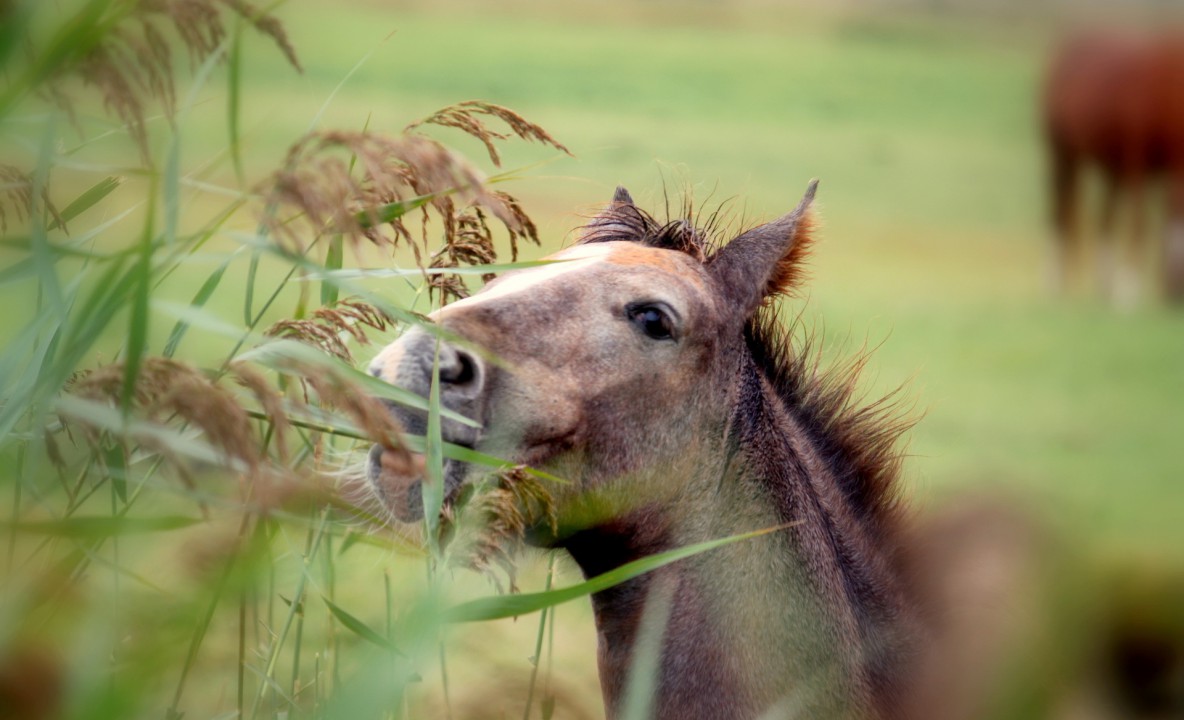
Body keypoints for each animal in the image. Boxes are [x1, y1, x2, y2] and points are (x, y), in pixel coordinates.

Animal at [1041, 29, 1184, 305]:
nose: (1174, 297)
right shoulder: (1136, 161)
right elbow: (1140, 223)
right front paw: (1128, 291)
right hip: (1062, 154)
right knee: (1061, 211)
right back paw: (1056, 284)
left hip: (1109, 168)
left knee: (1104, 218)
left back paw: (1103, 284)